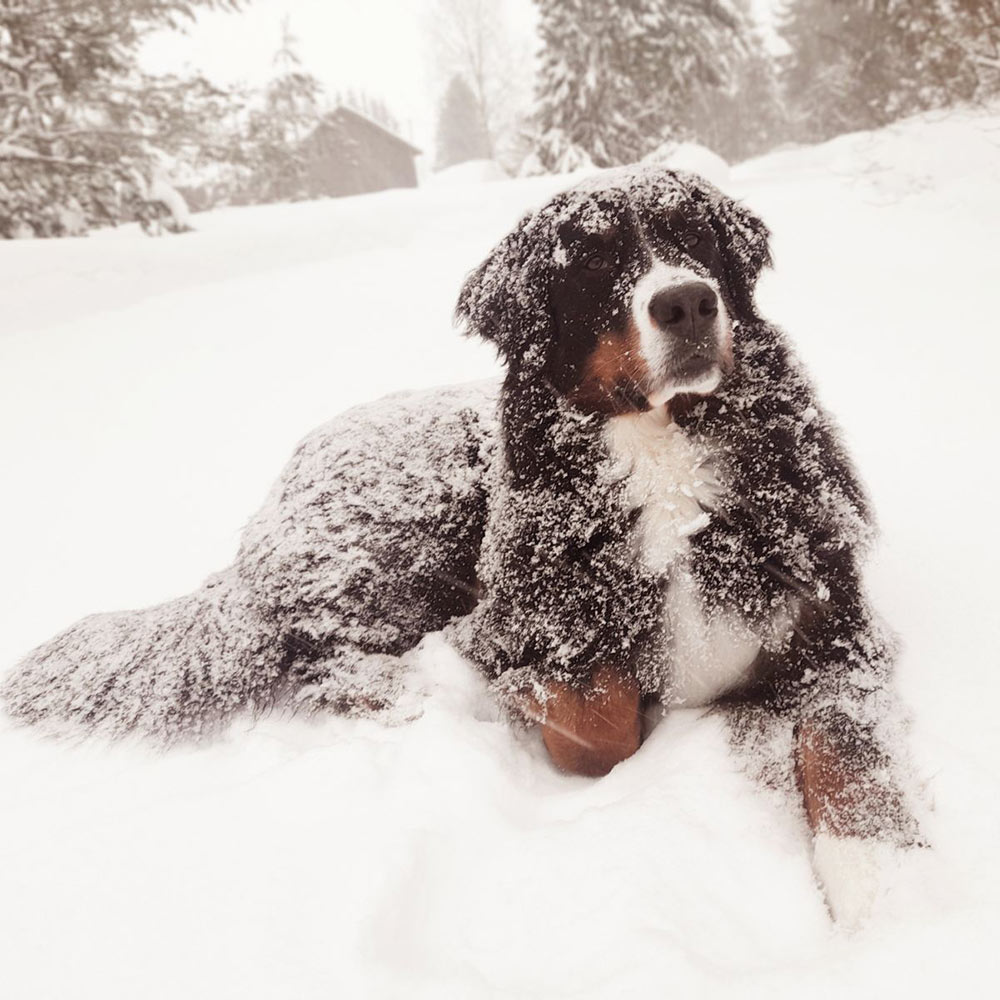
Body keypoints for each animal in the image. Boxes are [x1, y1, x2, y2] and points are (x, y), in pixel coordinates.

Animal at [1, 170, 920, 928]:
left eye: (694, 236)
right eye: (590, 260)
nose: (688, 303)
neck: (661, 458)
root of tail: (267, 516)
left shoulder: (834, 632)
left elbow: (846, 753)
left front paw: (877, 887)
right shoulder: (526, 630)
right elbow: (596, 718)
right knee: (320, 655)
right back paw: (407, 685)